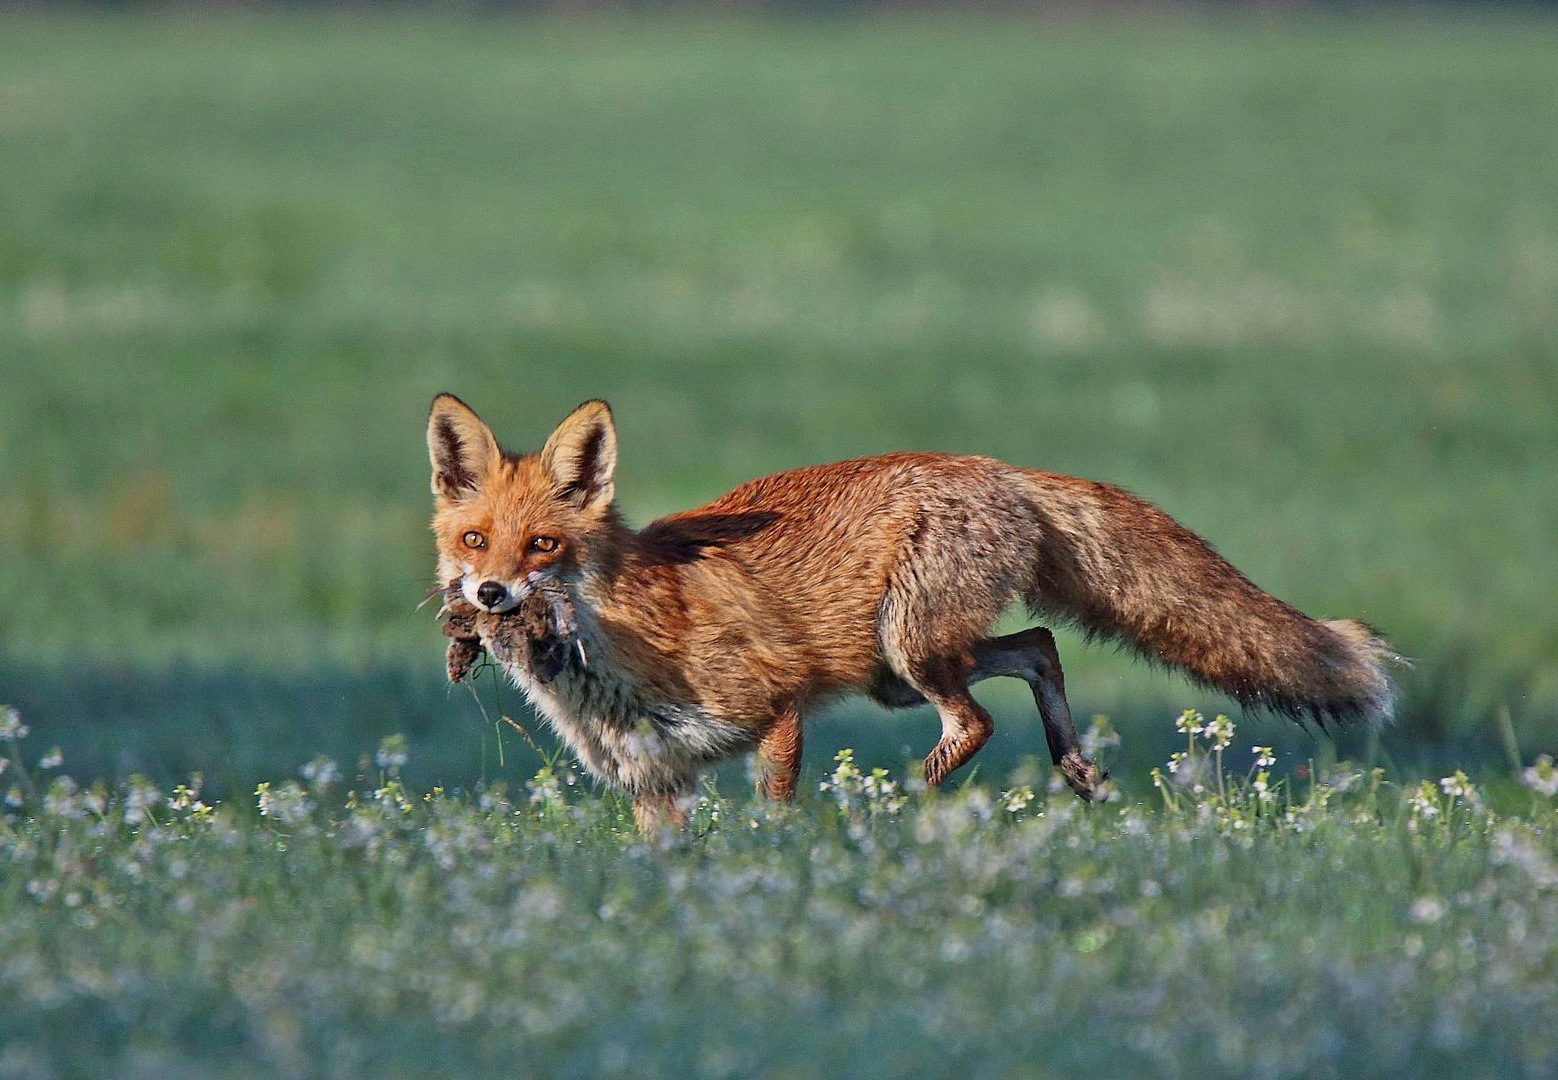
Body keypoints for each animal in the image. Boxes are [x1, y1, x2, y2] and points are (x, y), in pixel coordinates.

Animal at [430, 394, 1402, 822]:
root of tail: (992, 466)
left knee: (975, 722)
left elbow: (774, 807)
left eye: (543, 547)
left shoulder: (779, 703)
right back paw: (1076, 770)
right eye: (475, 541)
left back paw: (897, 811)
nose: (489, 597)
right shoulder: (654, 780)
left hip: (906, 651)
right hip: (901, 668)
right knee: (1039, 645)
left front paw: (783, 857)